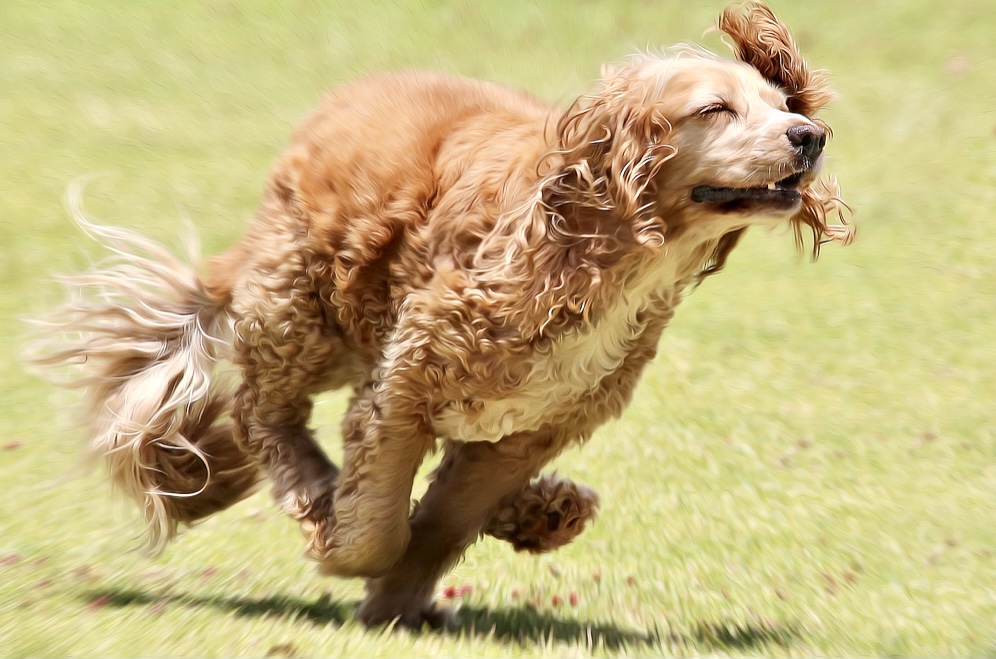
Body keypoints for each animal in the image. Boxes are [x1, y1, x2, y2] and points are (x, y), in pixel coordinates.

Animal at [27, 1, 852, 628]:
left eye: (783, 106)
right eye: (714, 108)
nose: (809, 136)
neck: (597, 243)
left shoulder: (536, 424)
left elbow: (443, 519)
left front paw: (401, 595)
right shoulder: (404, 386)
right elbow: (382, 518)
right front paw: (343, 543)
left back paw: (538, 510)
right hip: (304, 314)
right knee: (259, 411)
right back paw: (310, 490)